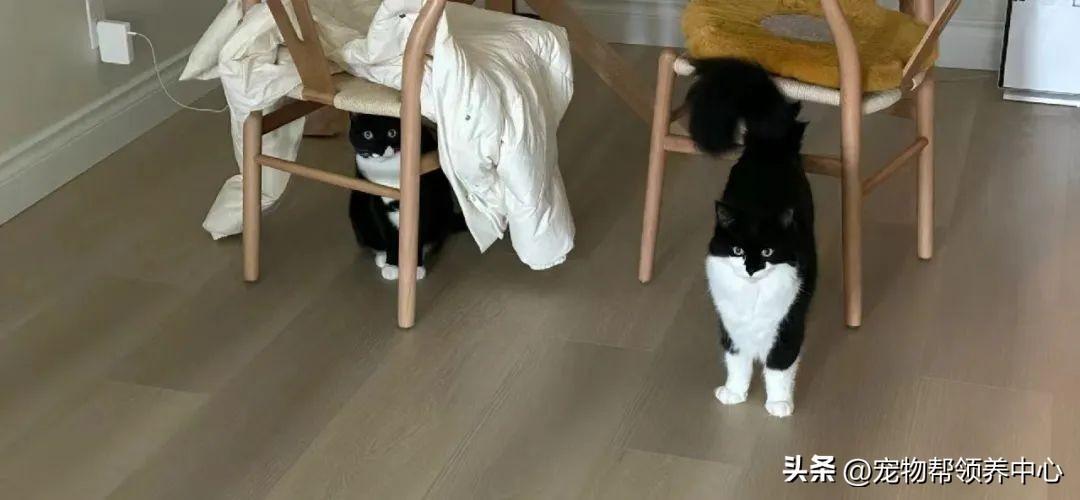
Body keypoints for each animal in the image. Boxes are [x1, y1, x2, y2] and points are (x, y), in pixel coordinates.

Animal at [347, 113, 465, 280]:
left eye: (392, 133)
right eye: (367, 134)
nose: (381, 149)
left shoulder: (425, 199)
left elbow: (418, 235)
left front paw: (416, 268)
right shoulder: (375, 198)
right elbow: (387, 232)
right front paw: (391, 265)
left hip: (443, 206)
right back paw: (382, 257)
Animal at [687, 59, 818, 418]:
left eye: (769, 252)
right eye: (736, 250)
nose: (751, 267)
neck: (752, 296)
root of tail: (768, 143)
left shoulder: (788, 326)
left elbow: (778, 368)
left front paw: (779, 405)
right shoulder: (730, 327)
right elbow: (737, 363)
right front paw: (733, 394)